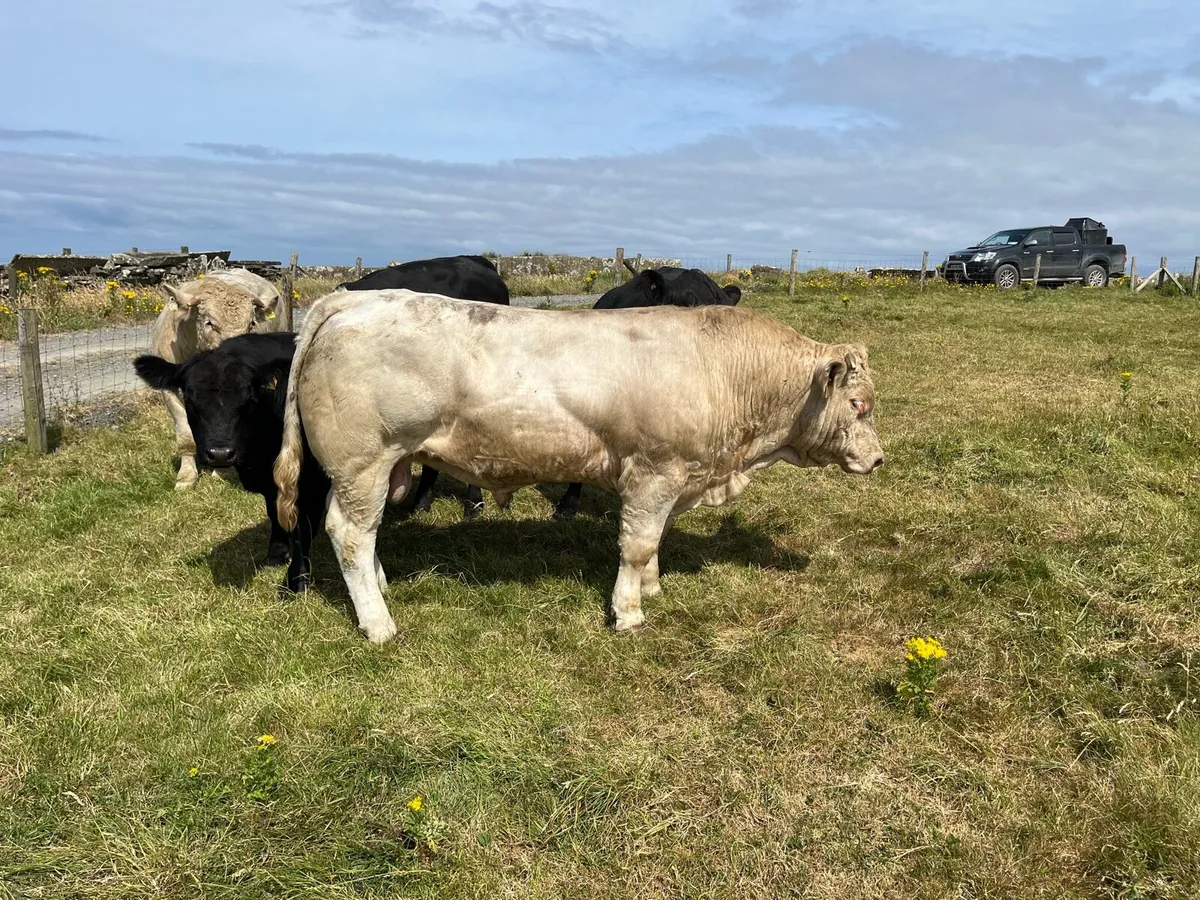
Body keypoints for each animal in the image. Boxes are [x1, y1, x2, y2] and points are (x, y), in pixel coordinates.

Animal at [133, 333, 328, 592]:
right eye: (190, 397)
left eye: (250, 397)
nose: (220, 453)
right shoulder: (269, 482)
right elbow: (274, 513)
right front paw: (275, 555)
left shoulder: (311, 481)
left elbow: (302, 529)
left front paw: (296, 580)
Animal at [147, 268, 284, 490]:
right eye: (209, 322)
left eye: (251, 323)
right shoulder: (169, 392)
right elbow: (185, 436)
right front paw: (186, 477)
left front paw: (223, 473)